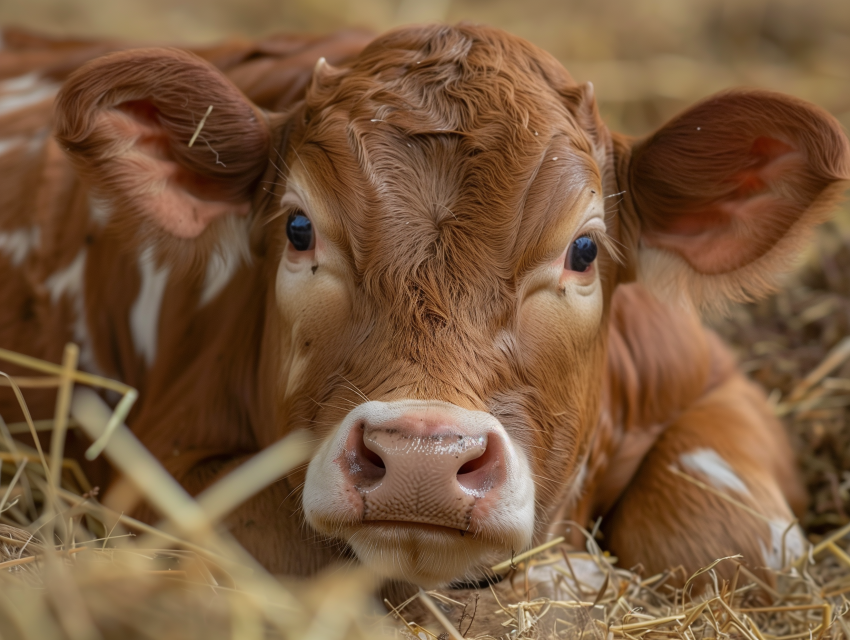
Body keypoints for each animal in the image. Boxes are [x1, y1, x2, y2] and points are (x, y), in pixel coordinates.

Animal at [1, 23, 848, 592]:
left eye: (583, 251)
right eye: (299, 230)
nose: (421, 458)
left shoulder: (724, 389)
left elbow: (733, 538)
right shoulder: (160, 465)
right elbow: (275, 535)